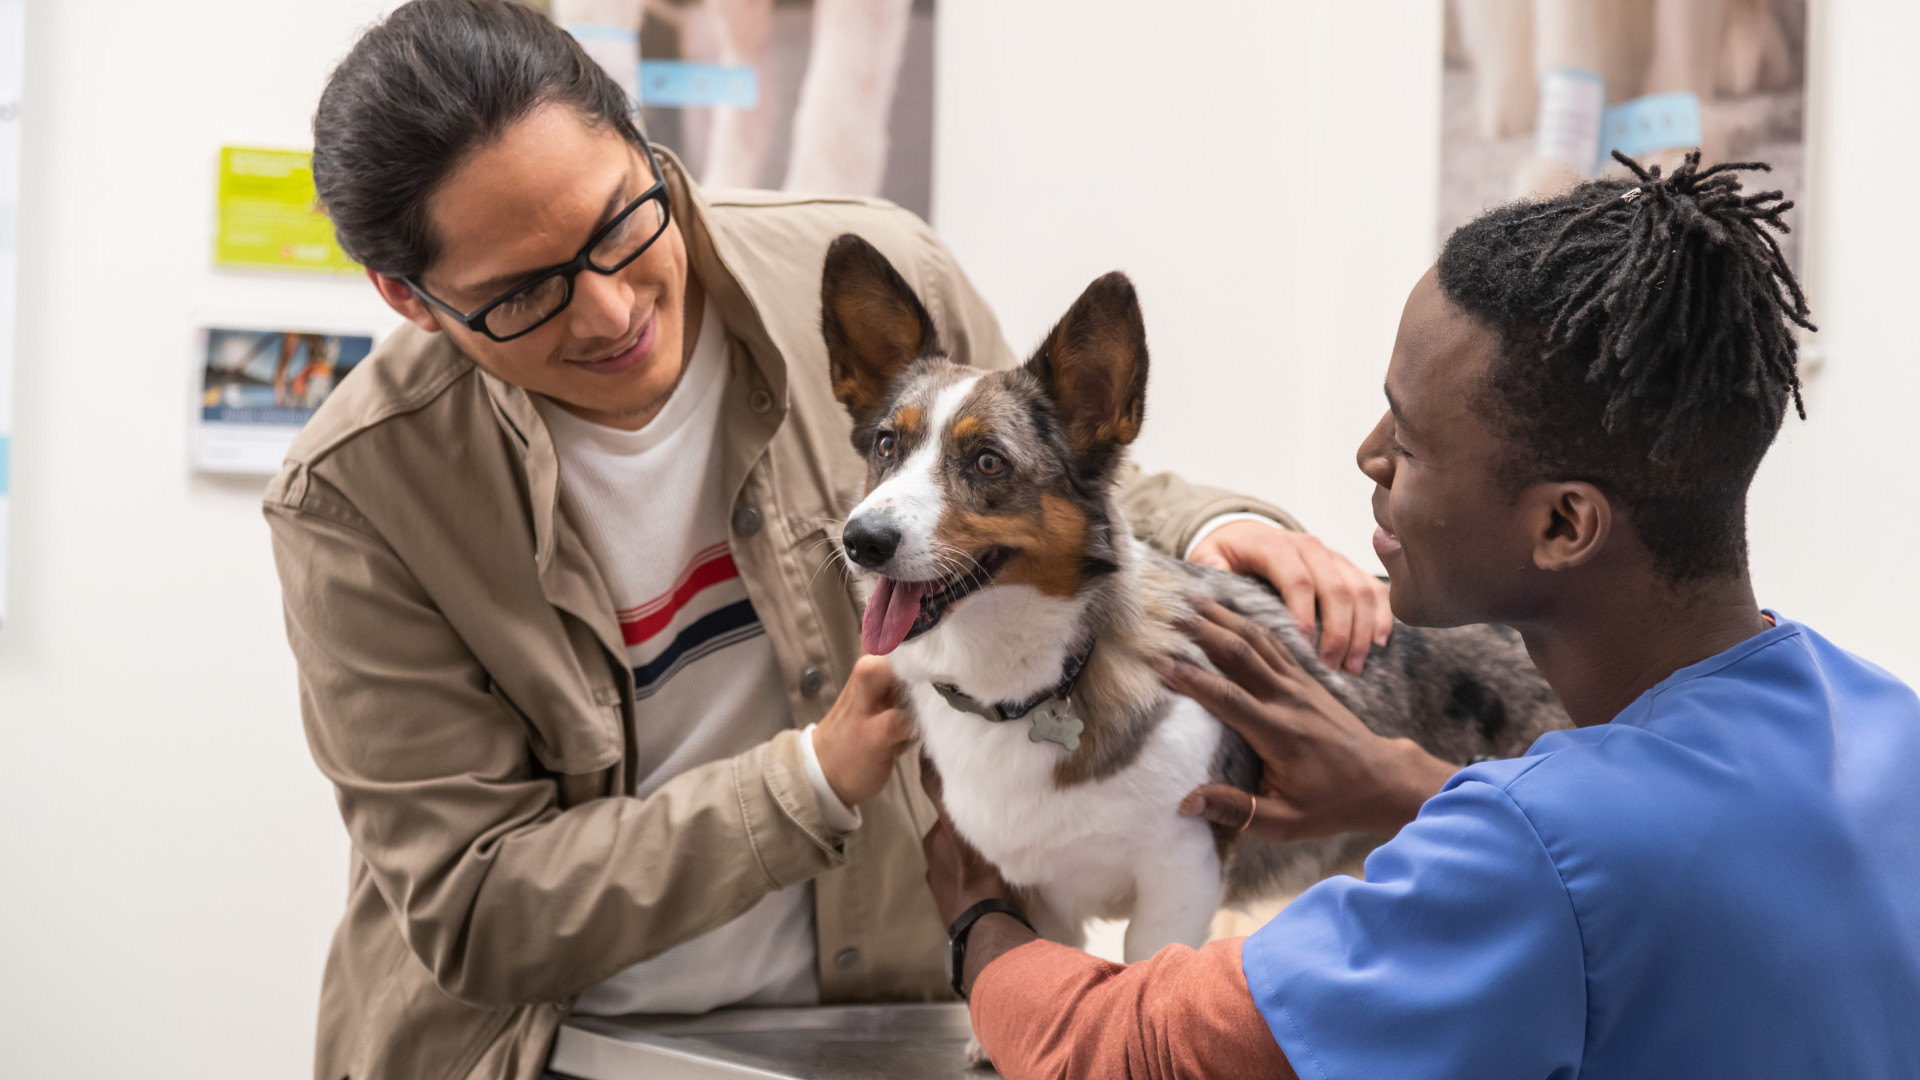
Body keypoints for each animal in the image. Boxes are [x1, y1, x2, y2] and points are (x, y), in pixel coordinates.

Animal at [817, 233, 1566, 968]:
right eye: (886, 445)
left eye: (988, 462)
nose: (862, 541)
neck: (1022, 686)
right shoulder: (1042, 896)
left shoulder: (1178, 878)